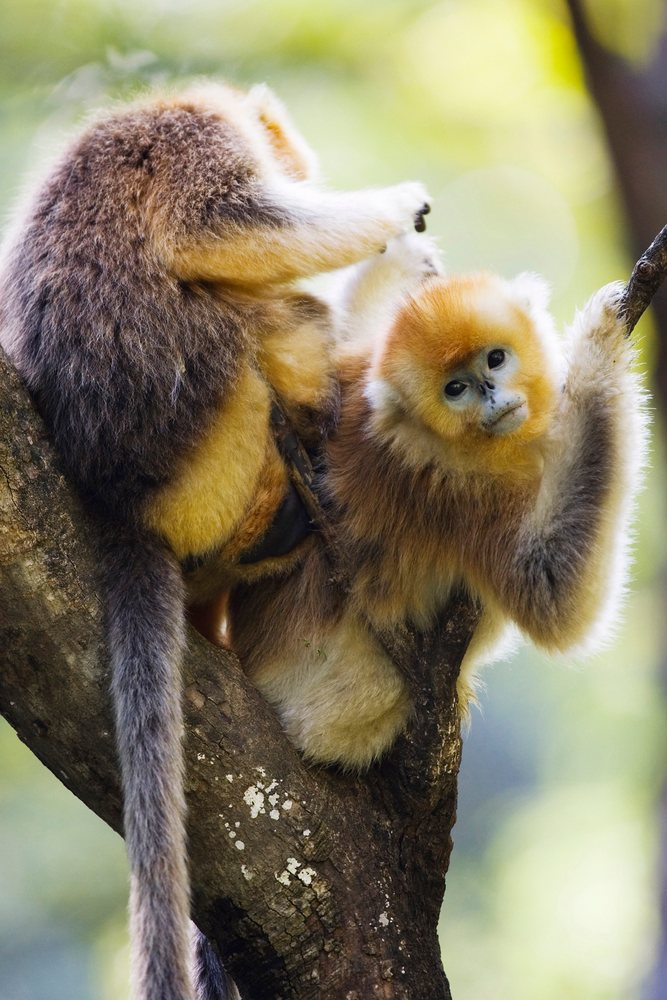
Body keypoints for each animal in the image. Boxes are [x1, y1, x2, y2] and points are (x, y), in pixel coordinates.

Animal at [0, 83, 431, 1000]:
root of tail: (121, 507)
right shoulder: (197, 142)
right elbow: (228, 226)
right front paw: (397, 217)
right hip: (207, 432)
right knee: (258, 313)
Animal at [227, 234, 649, 770]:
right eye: (456, 389)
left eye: (495, 360)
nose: (492, 396)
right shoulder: (450, 490)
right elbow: (553, 593)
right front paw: (599, 340)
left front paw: (399, 253)